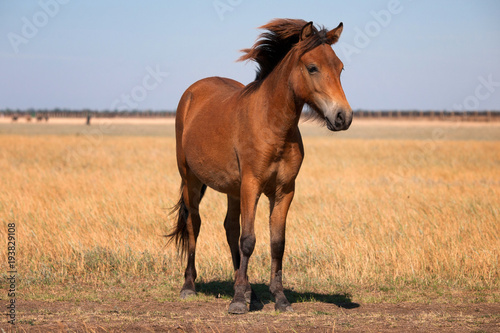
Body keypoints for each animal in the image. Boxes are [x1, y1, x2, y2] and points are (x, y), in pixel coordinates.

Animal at [168, 18, 352, 314]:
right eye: (312, 67)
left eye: (340, 68)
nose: (343, 117)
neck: (272, 125)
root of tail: (193, 92)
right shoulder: (251, 185)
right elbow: (249, 240)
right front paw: (238, 301)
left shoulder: (284, 191)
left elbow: (277, 243)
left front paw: (279, 298)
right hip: (191, 180)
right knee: (194, 224)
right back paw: (190, 286)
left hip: (232, 189)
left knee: (230, 228)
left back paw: (249, 291)